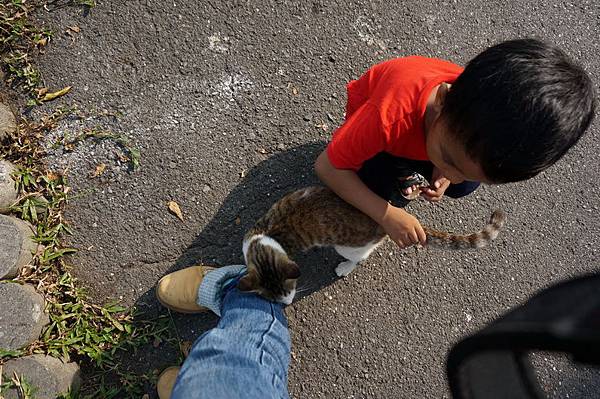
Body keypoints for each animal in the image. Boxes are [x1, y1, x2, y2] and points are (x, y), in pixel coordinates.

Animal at [237, 186, 504, 304]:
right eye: (275, 300)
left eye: (290, 294)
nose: (288, 304)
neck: (268, 236)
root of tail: (385, 219)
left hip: (347, 244)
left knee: (362, 255)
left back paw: (346, 266)